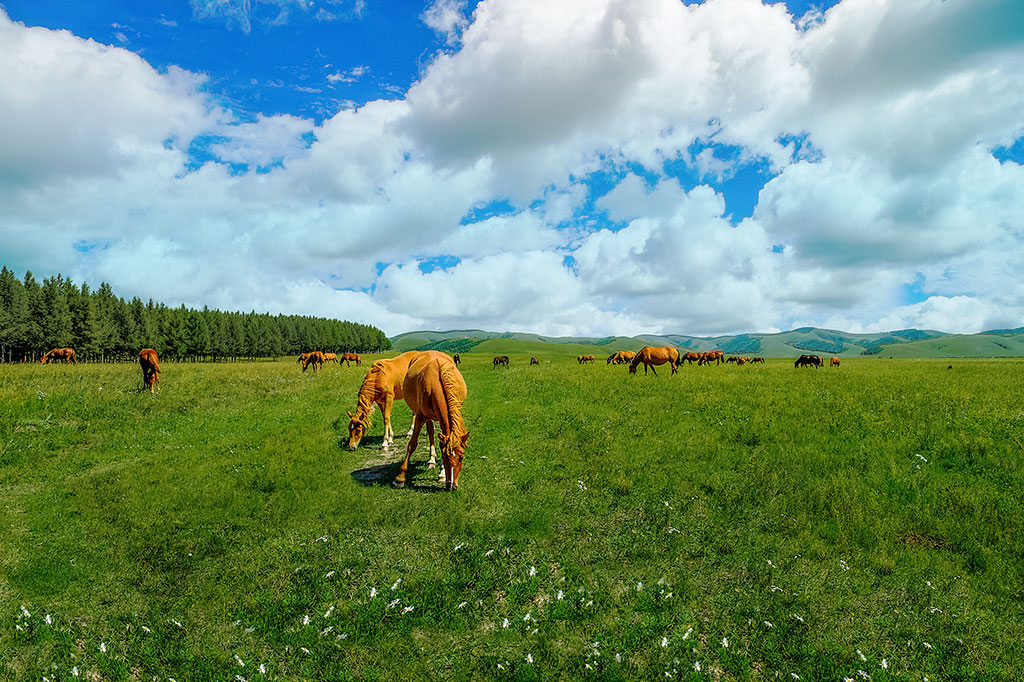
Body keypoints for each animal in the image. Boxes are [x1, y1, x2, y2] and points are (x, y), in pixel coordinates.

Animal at [393, 350, 468, 489]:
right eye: (445, 456)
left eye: (461, 457)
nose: (452, 485)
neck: (437, 382)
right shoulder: (420, 416)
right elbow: (412, 444)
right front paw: (400, 478)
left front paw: (442, 474)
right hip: (427, 416)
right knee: (431, 432)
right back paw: (431, 460)